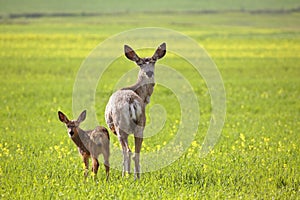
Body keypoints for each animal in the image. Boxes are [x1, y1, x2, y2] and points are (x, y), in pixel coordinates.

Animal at [105, 42, 166, 180]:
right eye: (141, 63)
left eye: (153, 61)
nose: (149, 73)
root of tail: (131, 100)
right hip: (141, 125)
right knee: (136, 153)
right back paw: (137, 177)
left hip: (120, 127)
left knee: (127, 151)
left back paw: (126, 176)